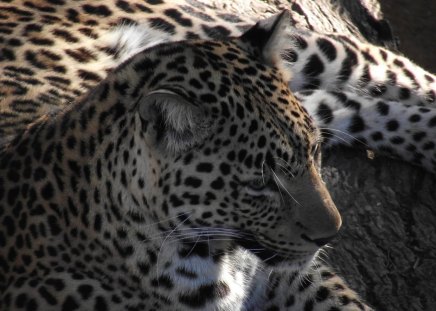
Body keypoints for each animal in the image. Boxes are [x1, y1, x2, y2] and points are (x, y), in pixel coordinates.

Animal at [0, 0, 434, 310]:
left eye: (315, 151)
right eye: (260, 182)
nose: (331, 234)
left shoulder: (290, 274)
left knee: (380, 63)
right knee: (345, 103)